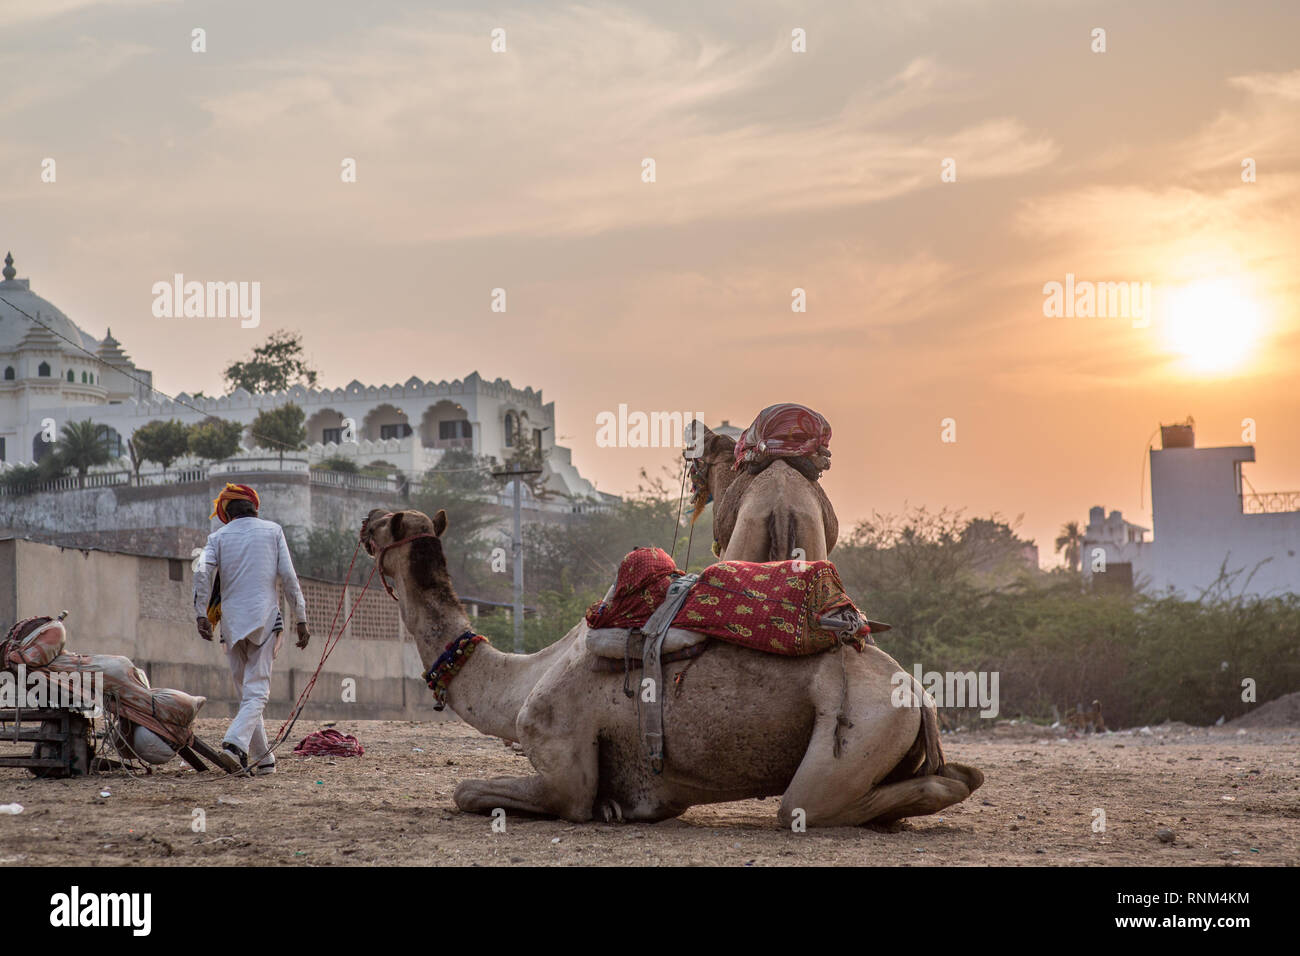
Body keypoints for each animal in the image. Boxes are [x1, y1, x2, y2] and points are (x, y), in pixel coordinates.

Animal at [362, 506, 983, 826]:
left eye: (388, 523)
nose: (364, 520)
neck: (521, 679)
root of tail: (919, 694)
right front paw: (616, 805)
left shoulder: (558, 751)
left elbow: (471, 790)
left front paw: (604, 807)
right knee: (955, 777)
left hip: (864, 723)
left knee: (806, 805)